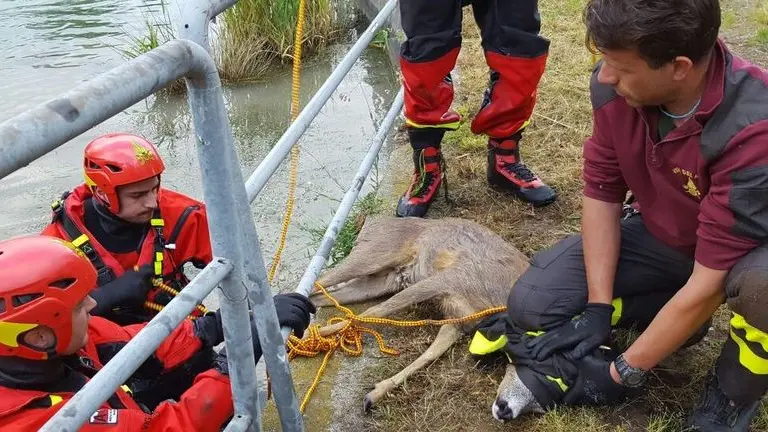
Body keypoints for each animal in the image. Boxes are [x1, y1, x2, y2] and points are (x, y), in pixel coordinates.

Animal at [306, 216, 544, 422]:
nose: (506, 412)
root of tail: (371, 220)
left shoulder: (459, 320)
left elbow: (430, 354)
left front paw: (375, 393)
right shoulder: (448, 279)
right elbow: (376, 311)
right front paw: (315, 335)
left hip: (384, 280)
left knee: (317, 296)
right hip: (372, 256)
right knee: (317, 279)